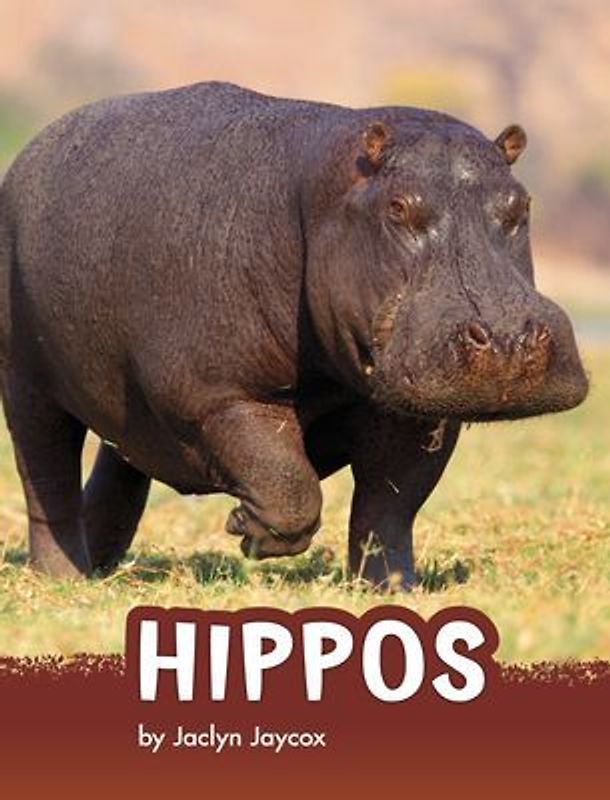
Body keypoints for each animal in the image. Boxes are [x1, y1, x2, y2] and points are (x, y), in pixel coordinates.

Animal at [0, 81, 588, 587]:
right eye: (398, 206)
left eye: (521, 204)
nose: (508, 338)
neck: (319, 197)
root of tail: (30, 151)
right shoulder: (218, 395)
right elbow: (288, 482)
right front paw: (246, 530)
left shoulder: (420, 410)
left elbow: (389, 507)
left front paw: (391, 589)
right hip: (26, 383)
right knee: (46, 478)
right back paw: (61, 577)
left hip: (123, 403)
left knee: (119, 464)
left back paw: (101, 566)